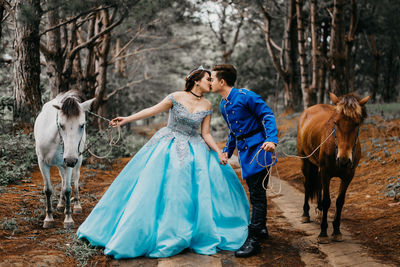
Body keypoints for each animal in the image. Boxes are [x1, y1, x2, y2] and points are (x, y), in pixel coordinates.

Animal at [34, 91, 94, 229]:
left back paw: (76, 205)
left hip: (77, 161)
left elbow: (68, 189)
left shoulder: (70, 163)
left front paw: (68, 219)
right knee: (62, 178)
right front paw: (49, 218)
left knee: (75, 180)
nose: (70, 160)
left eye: (82, 125)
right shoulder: (42, 163)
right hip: (62, 164)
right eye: (61, 125)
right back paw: (61, 204)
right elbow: (48, 190)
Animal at [296, 92, 368, 245]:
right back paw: (305, 214)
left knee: (318, 186)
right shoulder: (326, 173)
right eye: (336, 123)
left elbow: (339, 202)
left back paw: (319, 212)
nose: (344, 160)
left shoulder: (348, 176)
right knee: (307, 184)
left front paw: (337, 231)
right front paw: (323, 233)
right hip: (305, 162)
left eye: (357, 123)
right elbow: (327, 201)